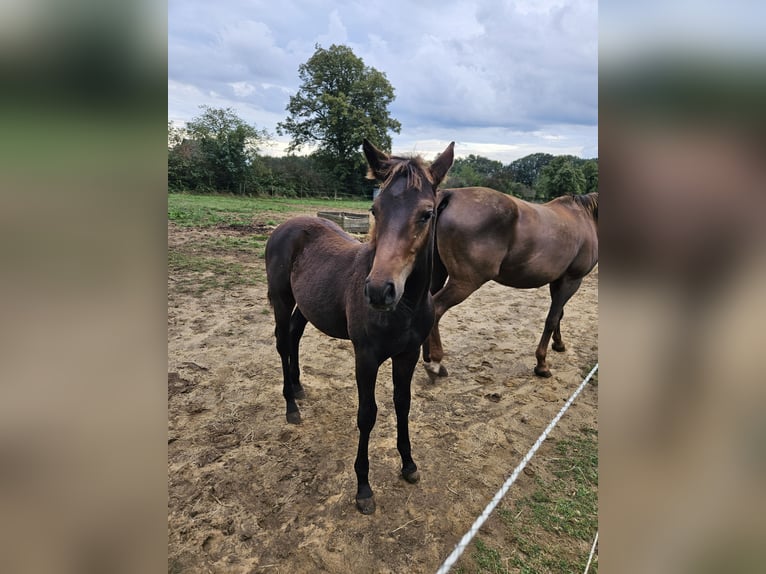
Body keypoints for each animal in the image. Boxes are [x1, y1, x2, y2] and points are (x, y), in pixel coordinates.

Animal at [266, 141, 452, 516]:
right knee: (281, 342)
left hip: (306, 306)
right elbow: (367, 415)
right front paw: (363, 488)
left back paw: (299, 388)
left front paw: (408, 464)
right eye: (375, 209)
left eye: (427, 214)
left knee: (293, 336)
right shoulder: (365, 357)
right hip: (280, 299)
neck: (405, 308)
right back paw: (291, 406)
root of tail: (285, 225)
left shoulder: (408, 354)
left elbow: (402, 404)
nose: (379, 291)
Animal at [426, 187, 600, 380]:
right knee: (437, 308)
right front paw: (542, 364)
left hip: (439, 274)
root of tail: (451, 194)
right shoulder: (572, 280)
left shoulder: (558, 281)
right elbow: (552, 319)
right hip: (465, 283)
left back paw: (427, 355)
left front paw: (559, 344)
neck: (585, 218)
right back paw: (436, 363)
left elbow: (559, 314)